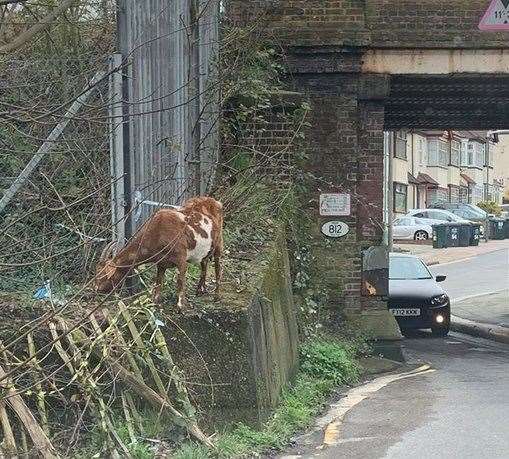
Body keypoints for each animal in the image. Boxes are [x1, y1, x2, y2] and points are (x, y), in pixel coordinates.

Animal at [94, 197, 223, 310]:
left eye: (102, 274)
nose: (96, 289)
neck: (158, 232)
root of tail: (214, 201)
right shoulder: (161, 262)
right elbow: (158, 281)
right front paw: (155, 301)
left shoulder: (181, 259)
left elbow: (180, 281)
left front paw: (180, 306)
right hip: (207, 249)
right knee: (204, 262)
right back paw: (200, 290)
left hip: (218, 244)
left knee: (217, 266)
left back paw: (216, 296)